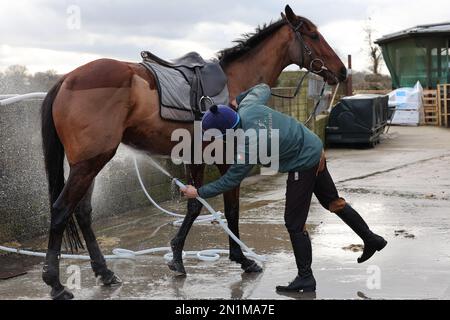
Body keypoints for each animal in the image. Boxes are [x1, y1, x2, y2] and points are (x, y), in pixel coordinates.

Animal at [40, 5, 346, 300]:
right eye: (313, 36)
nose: (342, 71)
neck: (235, 83)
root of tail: (66, 80)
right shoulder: (226, 159)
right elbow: (231, 207)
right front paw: (243, 259)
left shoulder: (196, 157)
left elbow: (194, 204)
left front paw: (176, 257)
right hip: (89, 163)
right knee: (61, 210)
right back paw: (55, 283)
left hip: (90, 163)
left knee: (83, 212)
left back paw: (104, 272)